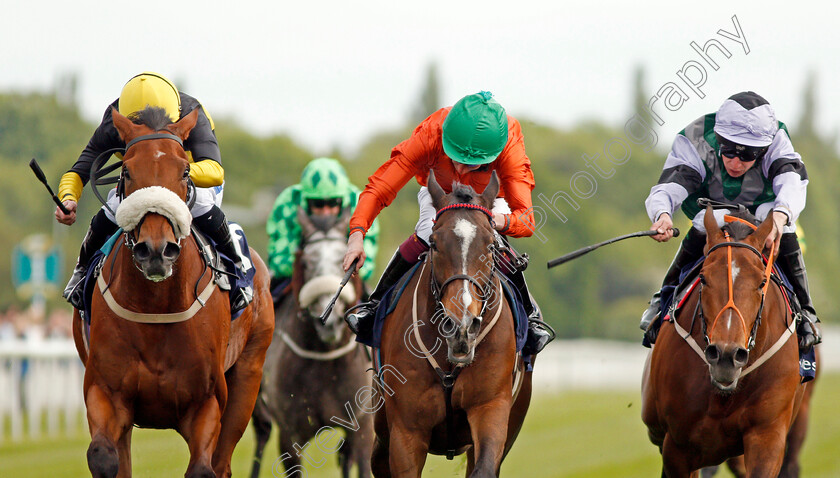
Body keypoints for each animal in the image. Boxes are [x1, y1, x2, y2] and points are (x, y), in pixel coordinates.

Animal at [72, 106, 274, 476]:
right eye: (126, 170)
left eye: (184, 170)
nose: (155, 250)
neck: (155, 306)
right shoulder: (104, 392)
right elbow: (105, 457)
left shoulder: (207, 403)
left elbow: (204, 469)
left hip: (249, 375)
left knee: (223, 462)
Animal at [246, 208, 370, 478]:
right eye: (306, 262)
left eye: (343, 261)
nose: (330, 321)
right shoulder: (290, 436)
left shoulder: (361, 426)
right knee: (260, 436)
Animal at [372, 173, 532, 478]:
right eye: (434, 243)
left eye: (491, 246)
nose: (461, 326)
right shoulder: (406, 432)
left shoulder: (491, 408)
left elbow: (483, 468)